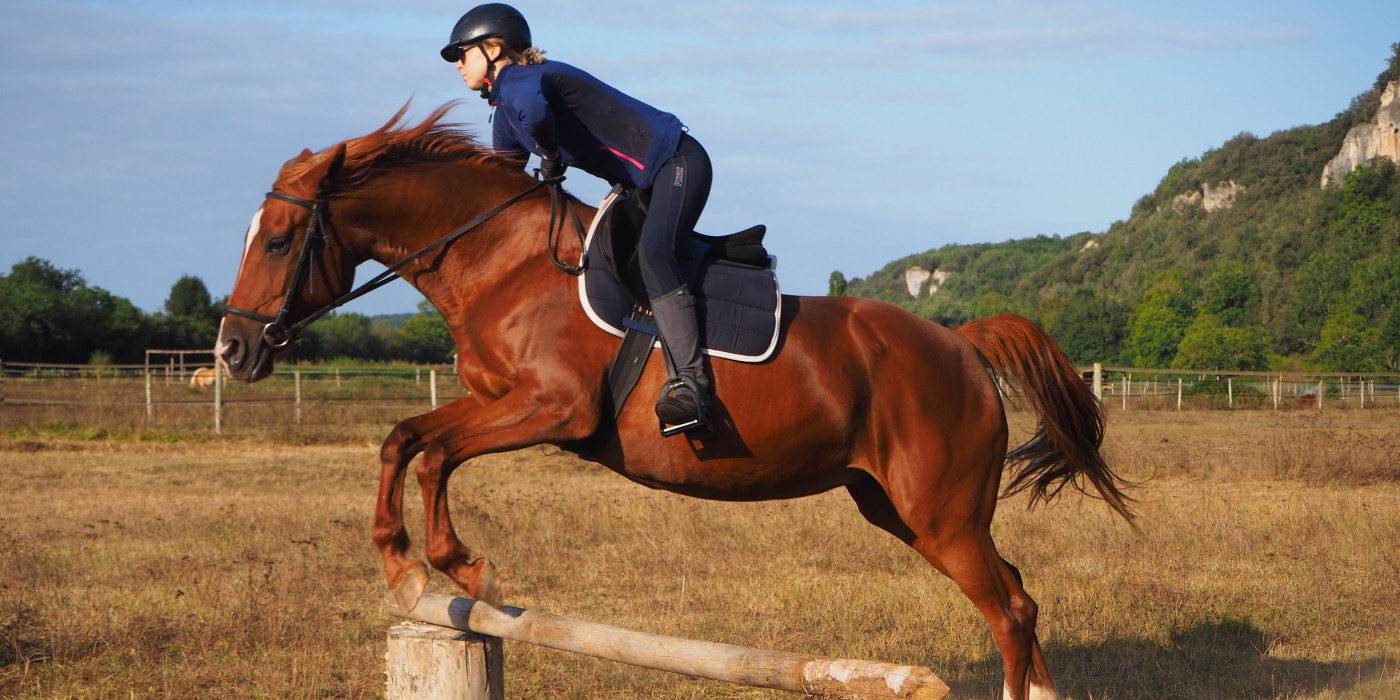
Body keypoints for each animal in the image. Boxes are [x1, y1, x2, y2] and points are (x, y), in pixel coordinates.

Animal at [218, 105, 1136, 700]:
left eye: (278, 241)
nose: (233, 349)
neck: (502, 262)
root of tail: (960, 343)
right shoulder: (499, 403)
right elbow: (405, 436)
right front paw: (403, 561)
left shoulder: (553, 409)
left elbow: (433, 449)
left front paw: (454, 565)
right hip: (902, 509)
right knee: (1017, 594)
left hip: (939, 513)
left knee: (1009, 608)